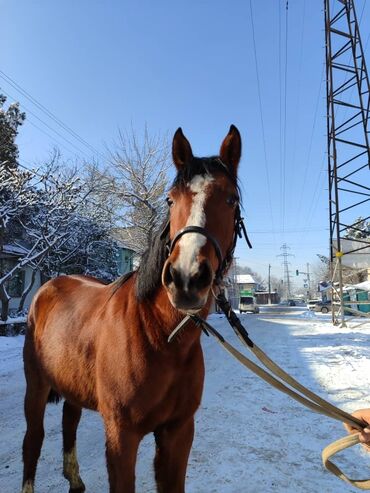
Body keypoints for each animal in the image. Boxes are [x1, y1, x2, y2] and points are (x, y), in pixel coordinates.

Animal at [22, 126, 243, 492]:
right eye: (170, 200)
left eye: (231, 200)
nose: (186, 278)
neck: (159, 334)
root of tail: (49, 287)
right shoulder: (122, 436)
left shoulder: (178, 432)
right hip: (36, 387)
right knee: (33, 440)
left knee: (69, 423)